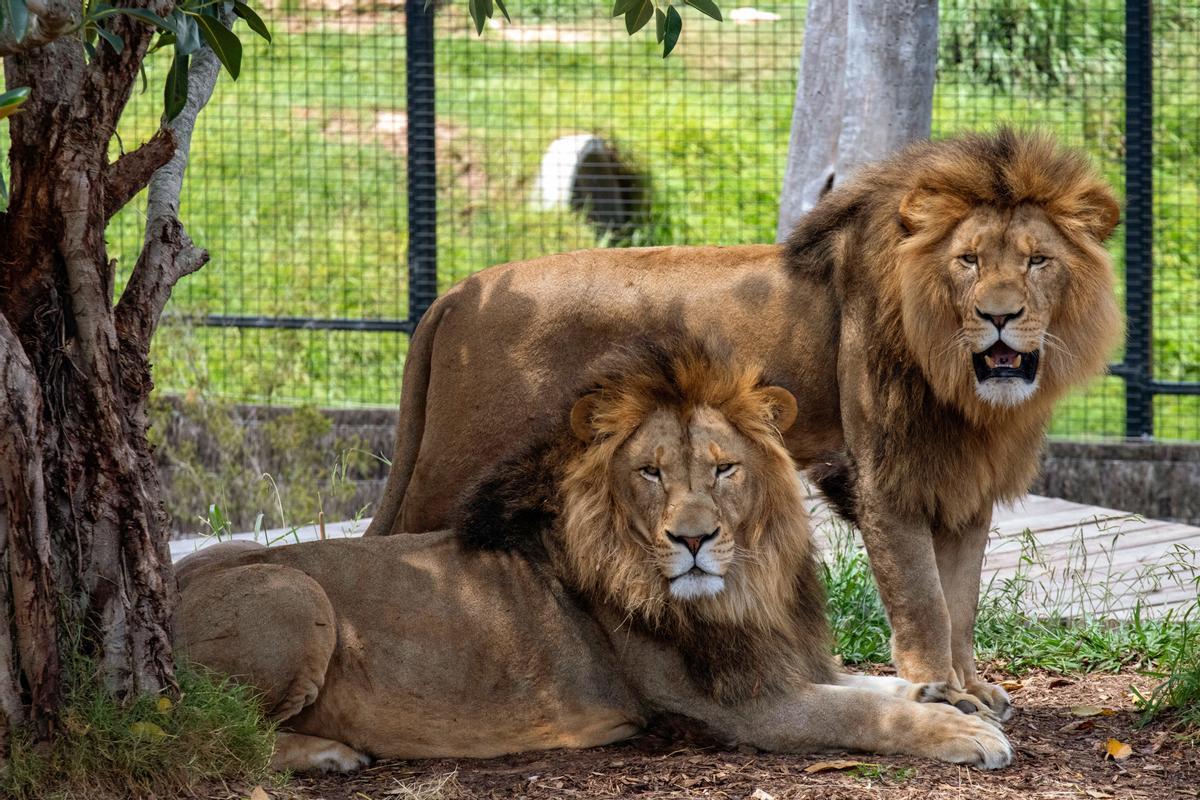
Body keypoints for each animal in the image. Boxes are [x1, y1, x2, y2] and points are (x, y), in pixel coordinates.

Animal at [171, 340, 1012, 777]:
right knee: (214, 731)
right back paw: (326, 753)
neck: (744, 587)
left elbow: (869, 682)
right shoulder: (736, 708)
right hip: (292, 594)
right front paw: (962, 734)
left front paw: (951, 697)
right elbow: (861, 711)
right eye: (651, 473)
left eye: (723, 469)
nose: (693, 539)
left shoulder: (776, 659)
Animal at [364, 130, 1123, 719]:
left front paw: (972, 686)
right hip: (453, 467)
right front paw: (943, 693)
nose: (999, 315)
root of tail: (454, 296)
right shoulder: (884, 477)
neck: (960, 383)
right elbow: (924, 599)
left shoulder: (963, 486)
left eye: (1037, 260)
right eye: (968, 261)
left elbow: (961, 600)